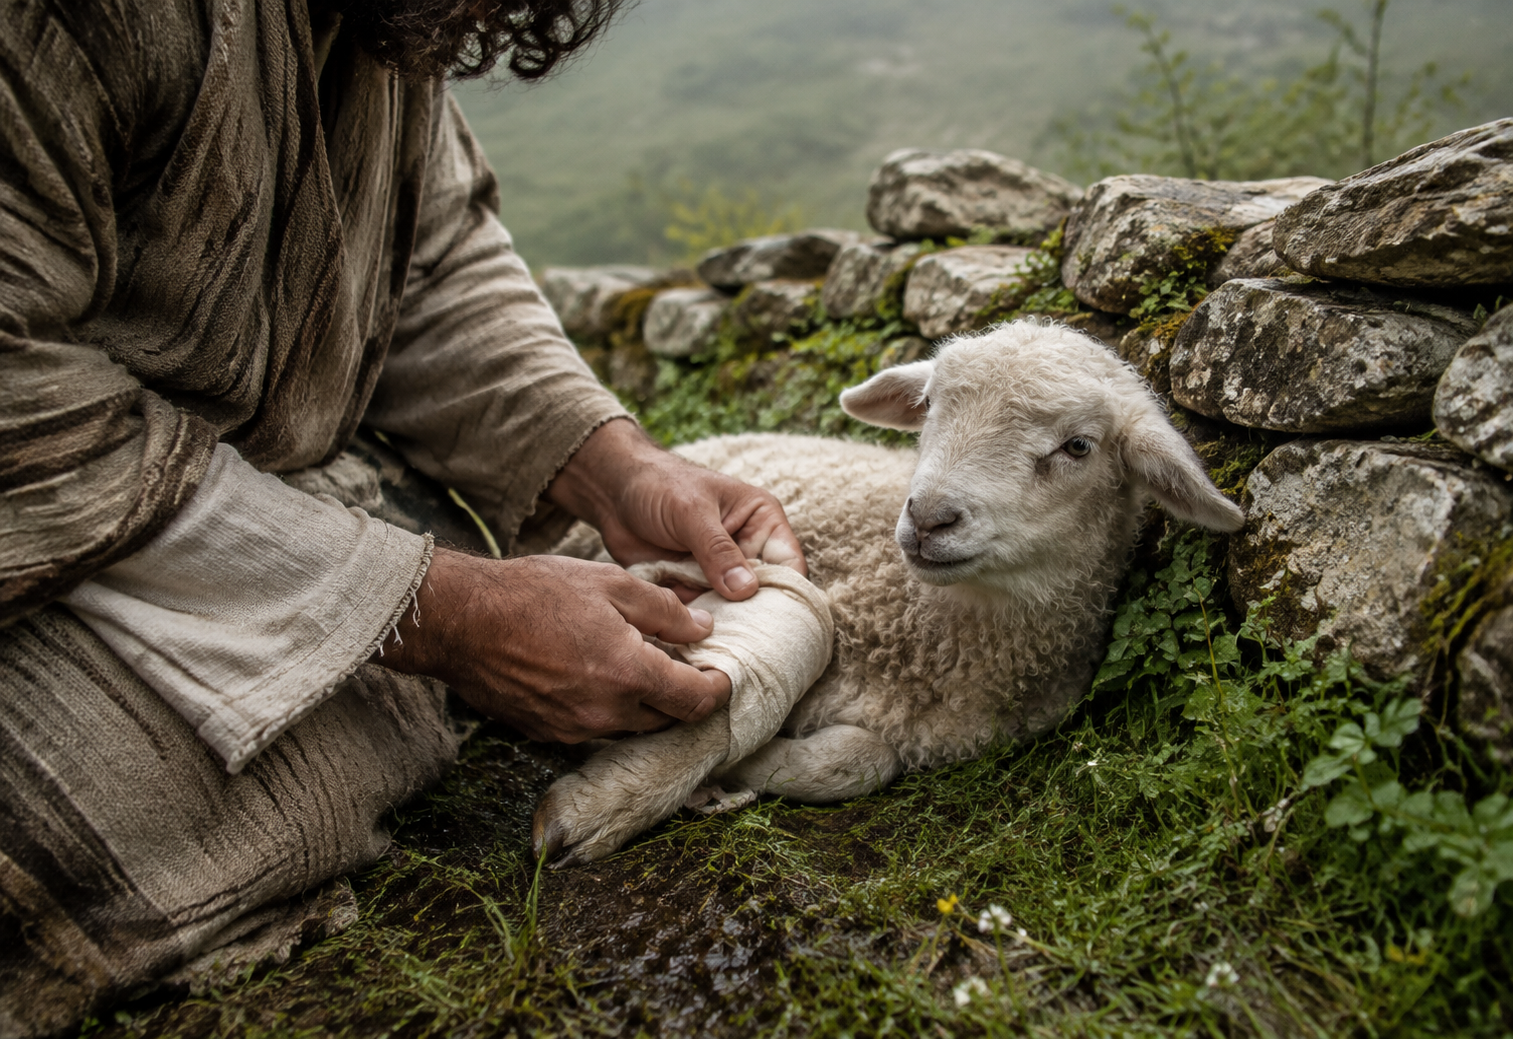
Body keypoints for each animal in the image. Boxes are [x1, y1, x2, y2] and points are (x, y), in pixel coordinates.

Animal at [533, 318, 1244, 865]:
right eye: (928, 405)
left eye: (1078, 446)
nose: (929, 518)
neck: (930, 637)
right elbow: (714, 714)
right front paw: (612, 802)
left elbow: (862, 760)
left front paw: (742, 771)